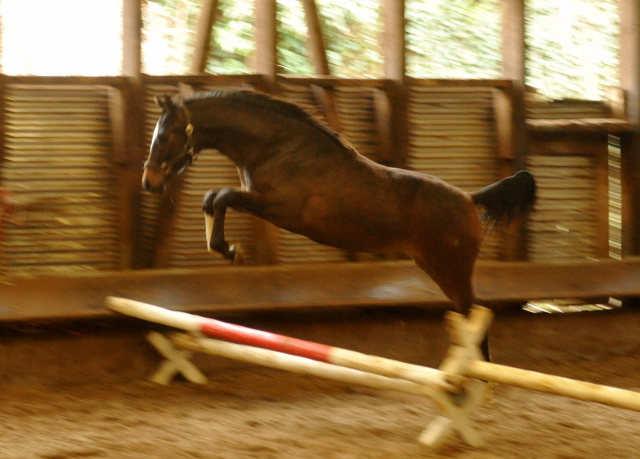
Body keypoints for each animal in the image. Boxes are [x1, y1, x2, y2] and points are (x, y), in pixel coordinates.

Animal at [142, 90, 536, 362]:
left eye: (165, 134)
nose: (149, 183)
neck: (277, 147)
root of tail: (470, 199)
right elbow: (212, 197)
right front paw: (222, 246)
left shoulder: (280, 209)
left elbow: (221, 196)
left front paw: (230, 249)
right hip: (439, 269)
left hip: (451, 270)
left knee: (476, 317)